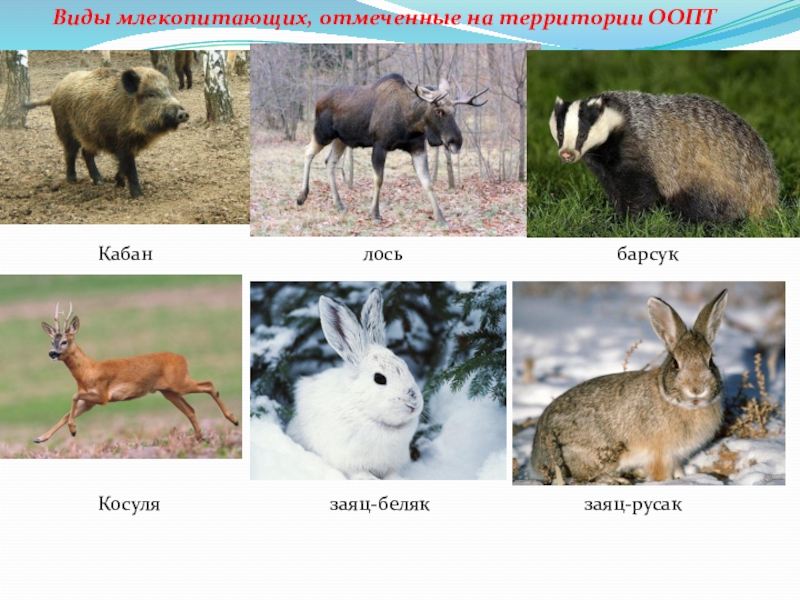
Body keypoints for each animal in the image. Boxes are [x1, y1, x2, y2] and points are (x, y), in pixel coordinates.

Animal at [37, 302, 239, 443]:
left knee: (209, 385)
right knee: (190, 410)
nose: (52, 353)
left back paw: (233, 420)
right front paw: (40, 438)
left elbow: (73, 396)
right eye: (52, 341)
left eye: (64, 341)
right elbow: (66, 412)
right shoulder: (90, 402)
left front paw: (73, 430)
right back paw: (199, 438)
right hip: (169, 391)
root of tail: (182, 358)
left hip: (180, 382)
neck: (88, 371)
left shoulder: (103, 395)